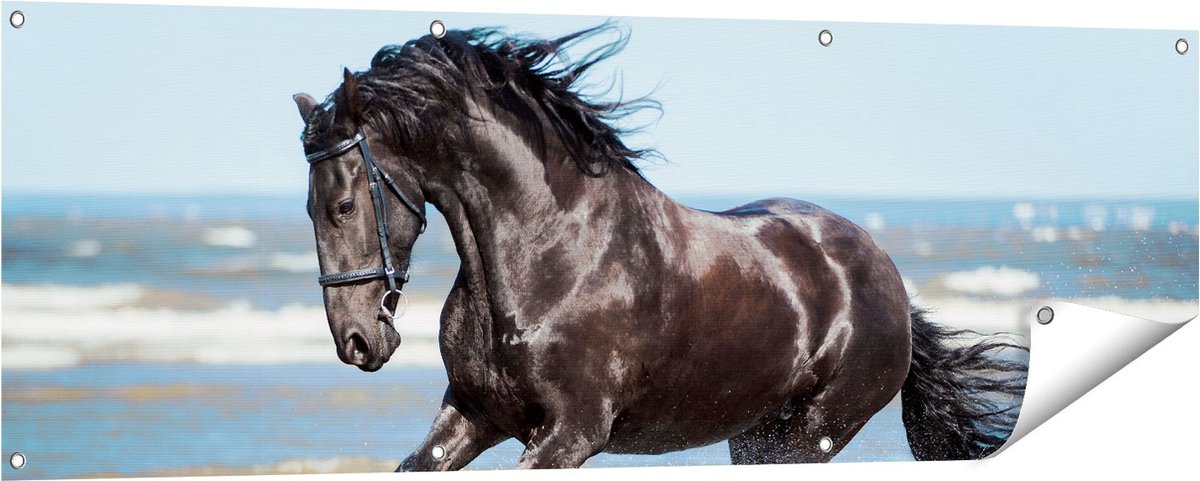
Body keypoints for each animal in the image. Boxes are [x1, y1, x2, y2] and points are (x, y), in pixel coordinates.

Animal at [293, 24, 1027, 469]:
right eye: (309, 209)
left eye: (343, 205)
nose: (356, 340)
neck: (549, 252)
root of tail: (888, 277)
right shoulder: (473, 413)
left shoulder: (571, 433)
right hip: (754, 433)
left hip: (813, 433)